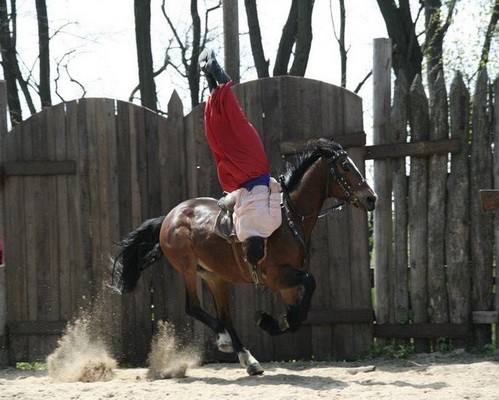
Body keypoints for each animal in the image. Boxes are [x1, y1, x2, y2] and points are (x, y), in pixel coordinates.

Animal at [111, 138, 376, 376]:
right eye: (345, 166)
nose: (371, 198)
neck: (290, 218)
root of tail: (169, 216)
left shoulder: (287, 284)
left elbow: (296, 316)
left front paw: (272, 322)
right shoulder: (277, 277)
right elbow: (310, 284)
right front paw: (269, 321)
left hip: (215, 278)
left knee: (225, 316)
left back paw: (248, 359)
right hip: (188, 268)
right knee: (194, 307)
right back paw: (225, 340)